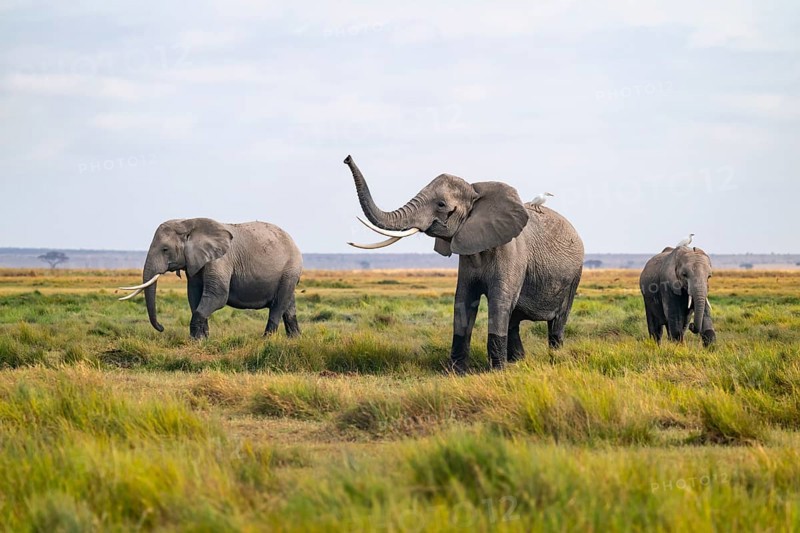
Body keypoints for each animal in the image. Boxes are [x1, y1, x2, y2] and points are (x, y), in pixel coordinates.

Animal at [118, 218, 302, 339]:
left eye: (165, 249)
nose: (162, 328)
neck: (188, 223)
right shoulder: (195, 263)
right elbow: (194, 295)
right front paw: (203, 339)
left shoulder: (220, 260)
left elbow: (217, 296)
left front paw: (196, 340)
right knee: (288, 306)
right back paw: (295, 339)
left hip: (290, 270)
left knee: (278, 306)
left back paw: (266, 340)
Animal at [343, 155, 584, 373]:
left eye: (441, 204)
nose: (346, 158)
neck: (477, 194)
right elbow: (463, 299)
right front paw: (457, 372)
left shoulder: (511, 251)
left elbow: (499, 302)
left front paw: (497, 372)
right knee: (514, 319)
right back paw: (518, 362)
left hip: (574, 275)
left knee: (556, 321)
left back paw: (553, 357)